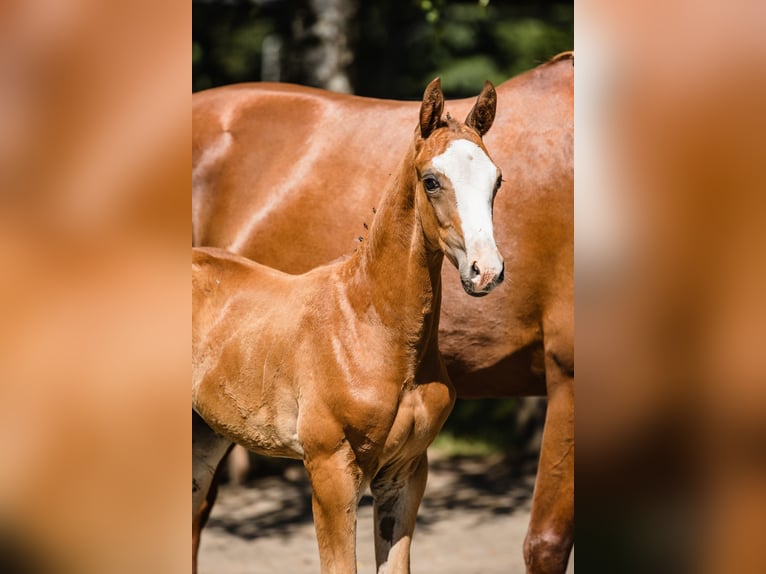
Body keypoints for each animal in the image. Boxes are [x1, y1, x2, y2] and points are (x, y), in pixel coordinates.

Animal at [195, 54, 572, 574]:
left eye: (497, 181)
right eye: (431, 181)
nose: (486, 271)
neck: (370, 323)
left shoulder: (406, 472)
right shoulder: (330, 471)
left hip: (206, 436)